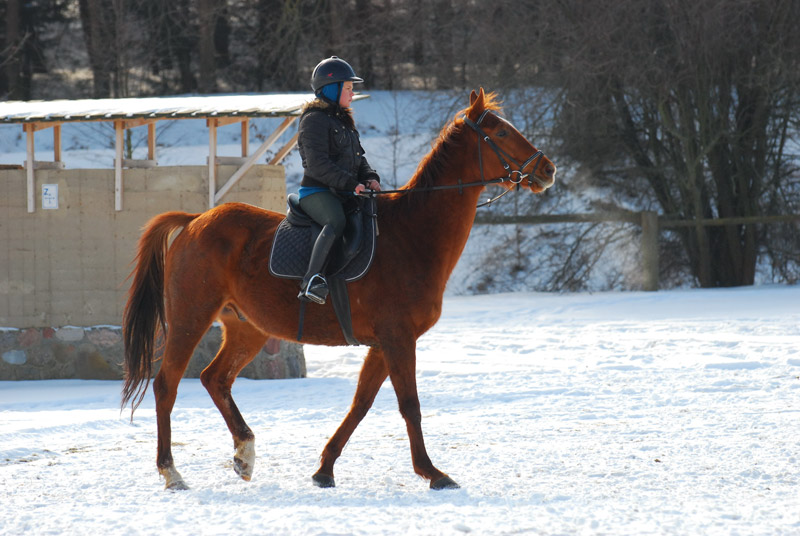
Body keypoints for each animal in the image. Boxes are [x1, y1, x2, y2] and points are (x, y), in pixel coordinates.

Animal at [122, 87, 556, 490]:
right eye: (501, 131)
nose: (549, 169)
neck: (412, 235)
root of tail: (195, 220)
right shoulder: (398, 339)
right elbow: (409, 405)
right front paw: (432, 472)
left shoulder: (384, 344)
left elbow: (361, 404)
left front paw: (325, 468)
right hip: (190, 319)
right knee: (167, 385)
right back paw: (171, 472)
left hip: (247, 328)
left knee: (216, 379)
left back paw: (244, 453)